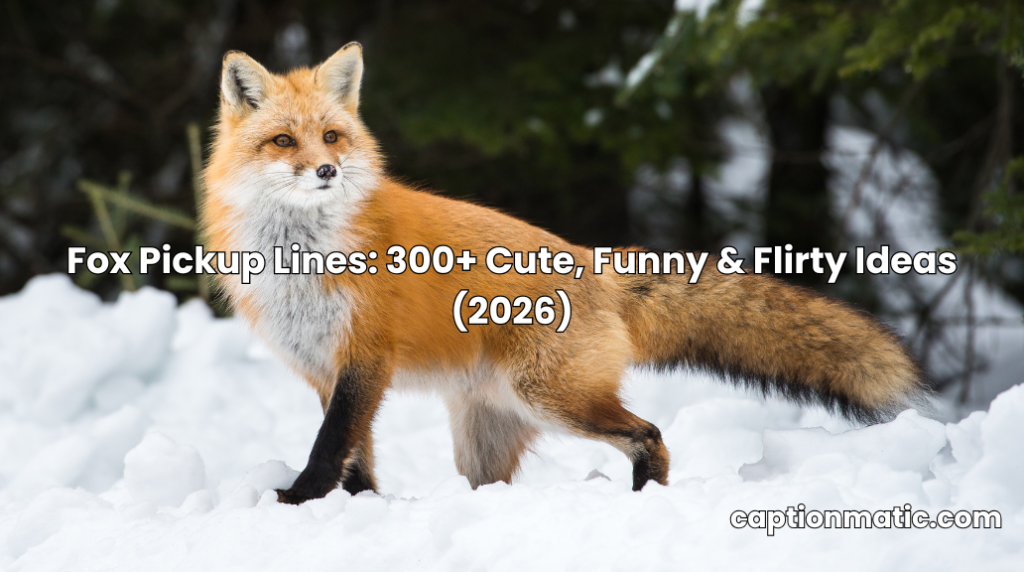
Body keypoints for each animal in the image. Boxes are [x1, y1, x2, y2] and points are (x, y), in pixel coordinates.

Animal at [201, 43, 929, 504]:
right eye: (283, 141)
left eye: (331, 137)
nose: (326, 170)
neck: (301, 256)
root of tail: (594, 265)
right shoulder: (324, 368)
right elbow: (355, 458)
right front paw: (356, 508)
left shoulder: (365, 358)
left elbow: (330, 447)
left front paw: (298, 501)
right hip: (486, 436)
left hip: (553, 398)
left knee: (650, 436)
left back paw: (644, 501)